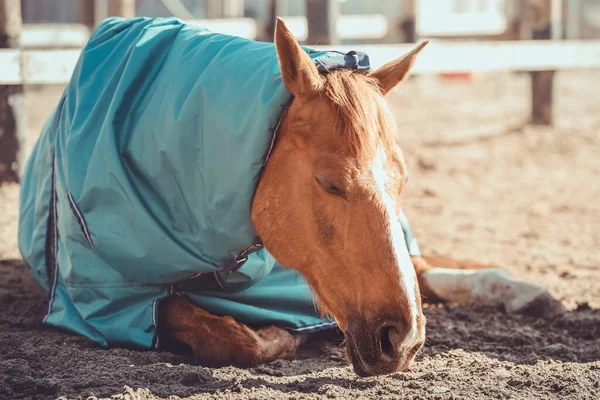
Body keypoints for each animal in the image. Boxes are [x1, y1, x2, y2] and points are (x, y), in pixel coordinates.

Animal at [16, 16, 564, 378]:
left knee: (424, 268)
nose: (403, 340)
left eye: (403, 180)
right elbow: (228, 337)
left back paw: (526, 291)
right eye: (329, 183)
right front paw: (273, 335)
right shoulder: (106, 301)